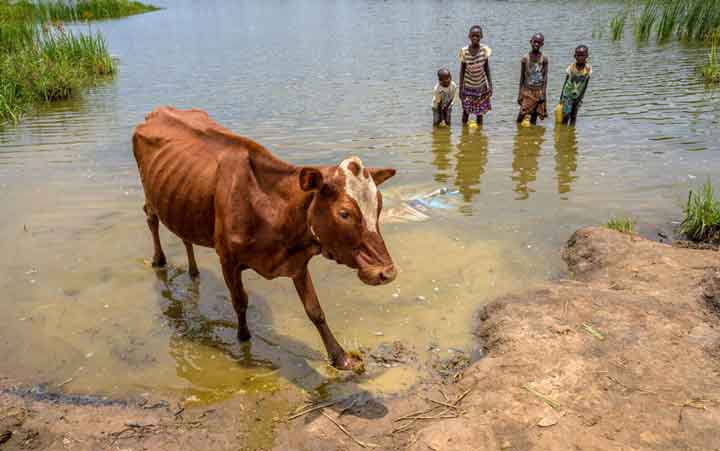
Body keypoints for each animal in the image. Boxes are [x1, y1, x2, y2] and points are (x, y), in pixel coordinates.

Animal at [132, 107, 397, 372]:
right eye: (344, 213)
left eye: (379, 205)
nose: (387, 272)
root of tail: (156, 112)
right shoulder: (227, 259)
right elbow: (240, 302)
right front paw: (243, 339)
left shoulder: (297, 262)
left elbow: (315, 311)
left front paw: (339, 356)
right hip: (149, 193)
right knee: (151, 219)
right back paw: (158, 260)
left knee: (185, 236)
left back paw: (194, 271)